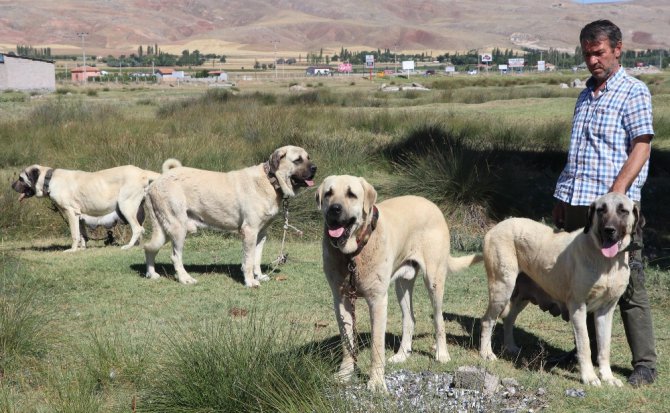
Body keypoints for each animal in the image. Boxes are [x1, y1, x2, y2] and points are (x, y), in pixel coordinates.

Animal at [318, 173, 484, 390]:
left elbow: (376, 346)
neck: (352, 253)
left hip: (434, 279)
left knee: (438, 319)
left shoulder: (377, 300)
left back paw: (442, 354)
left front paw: (376, 382)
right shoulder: (341, 299)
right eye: (328, 193)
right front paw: (345, 374)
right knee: (410, 318)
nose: (334, 209)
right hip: (402, 283)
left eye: (351, 194)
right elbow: (347, 343)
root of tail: (432, 204)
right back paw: (402, 354)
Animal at [480, 192, 644, 384]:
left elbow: (604, 347)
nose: (609, 230)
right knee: (488, 320)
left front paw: (608, 377)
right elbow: (585, 344)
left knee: (508, 319)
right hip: (502, 287)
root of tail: (497, 226)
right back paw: (486, 353)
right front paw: (589, 377)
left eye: (623, 211)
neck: (606, 262)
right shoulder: (578, 306)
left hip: (521, 296)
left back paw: (510, 347)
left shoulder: (606, 310)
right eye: (601, 210)